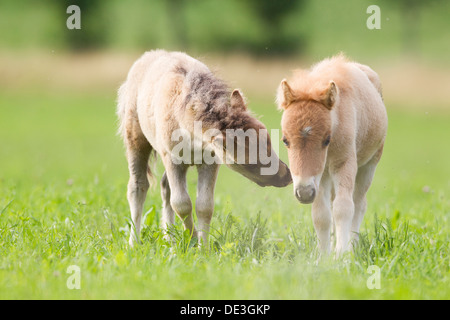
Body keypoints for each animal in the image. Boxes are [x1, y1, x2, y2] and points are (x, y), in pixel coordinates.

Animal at [117, 50, 292, 246]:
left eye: (269, 142)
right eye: (249, 162)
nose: (286, 175)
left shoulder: (210, 162)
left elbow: (204, 205)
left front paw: (202, 247)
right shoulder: (171, 159)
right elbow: (182, 204)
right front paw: (192, 240)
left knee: (165, 187)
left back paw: (170, 238)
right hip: (135, 139)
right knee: (138, 186)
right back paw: (134, 243)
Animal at [276, 54, 388, 255]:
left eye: (326, 139)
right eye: (285, 140)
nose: (304, 193)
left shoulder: (344, 164)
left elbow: (343, 208)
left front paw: (342, 255)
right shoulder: (321, 175)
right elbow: (321, 214)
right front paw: (323, 256)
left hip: (368, 166)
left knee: (359, 204)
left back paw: (352, 247)